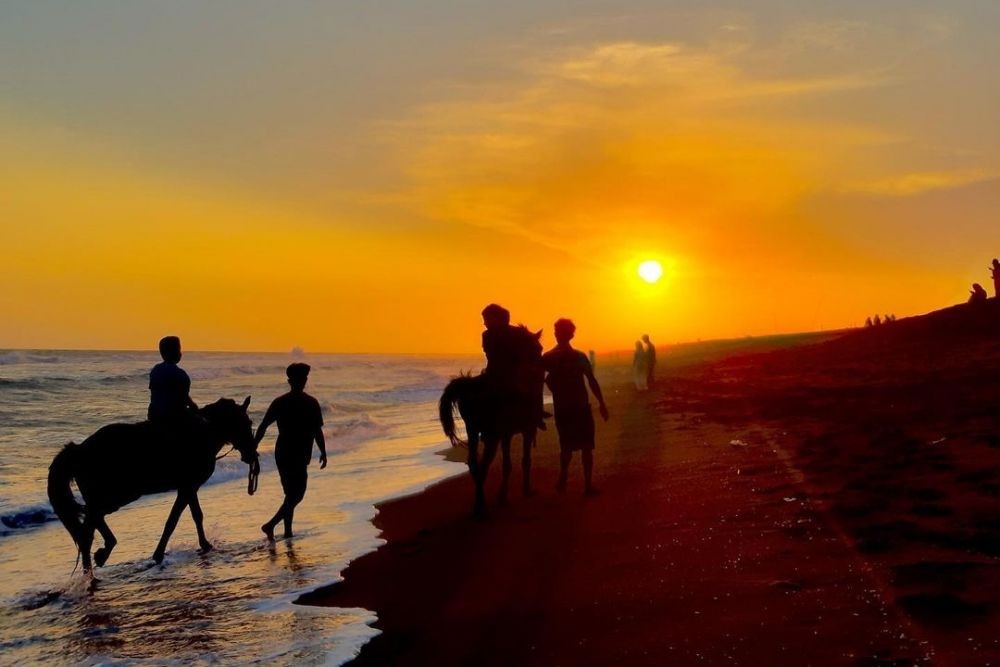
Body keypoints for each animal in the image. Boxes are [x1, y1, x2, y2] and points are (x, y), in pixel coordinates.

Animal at [47, 396, 258, 576]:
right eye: (247, 424)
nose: (251, 454)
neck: (203, 432)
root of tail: (79, 450)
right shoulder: (187, 487)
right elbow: (174, 521)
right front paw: (159, 554)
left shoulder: (189, 487)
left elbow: (194, 515)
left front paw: (204, 545)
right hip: (117, 496)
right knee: (88, 527)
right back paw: (100, 557)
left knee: (89, 528)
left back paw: (93, 567)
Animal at [440, 328, 544, 516]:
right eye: (537, 348)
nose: (541, 369)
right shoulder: (523, 430)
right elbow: (522, 461)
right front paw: (520, 491)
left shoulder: (507, 434)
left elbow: (510, 464)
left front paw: (504, 496)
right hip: (491, 435)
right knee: (483, 464)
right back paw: (481, 507)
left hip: (474, 431)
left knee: (474, 463)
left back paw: (479, 505)